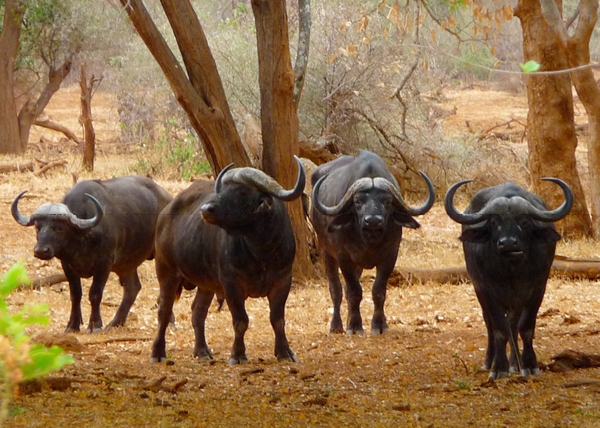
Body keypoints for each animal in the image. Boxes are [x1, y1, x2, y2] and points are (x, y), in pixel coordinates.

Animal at [11, 176, 172, 332]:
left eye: (59, 228)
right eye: (37, 227)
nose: (40, 251)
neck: (83, 237)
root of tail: (168, 199)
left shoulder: (104, 265)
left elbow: (95, 294)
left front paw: (95, 325)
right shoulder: (67, 266)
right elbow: (75, 294)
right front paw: (73, 325)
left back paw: (169, 322)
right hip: (126, 264)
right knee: (132, 288)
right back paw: (115, 323)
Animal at [150, 157, 304, 364]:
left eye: (242, 191)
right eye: (222, 189)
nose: (206, 209)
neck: (261, 252)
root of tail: (165, 213)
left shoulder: (283, 281)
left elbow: (278, 320)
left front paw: (284, 352)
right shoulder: (231, 284)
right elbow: (240, 321)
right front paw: (237, 355)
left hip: (206, 284)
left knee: (198, 312)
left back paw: (202, 351)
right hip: (166, 272)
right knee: (164, 312)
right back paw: (157, 353)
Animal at [310, 152, 436, 336]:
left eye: (387, 201)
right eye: (358, 201)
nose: (373, 221)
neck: (369, 240)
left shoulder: (390, 256)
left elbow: (378, 291)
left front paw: (379, 324)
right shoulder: (344, 257)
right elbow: (354, 291)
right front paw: (355, 326)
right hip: (325, 251)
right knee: (336, 289)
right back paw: (337, 325)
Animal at [446, 179, 572, 380]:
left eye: (524, 221)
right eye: (494, 221)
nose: (508, 243)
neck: (511, 271)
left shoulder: (537, 289)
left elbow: (526, 328)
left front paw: (529, 364)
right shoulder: (486, 290)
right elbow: (499, 329)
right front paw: (499, 367)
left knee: (513, 325)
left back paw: (515, 363)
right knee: (490, 324)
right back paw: (490, 361)